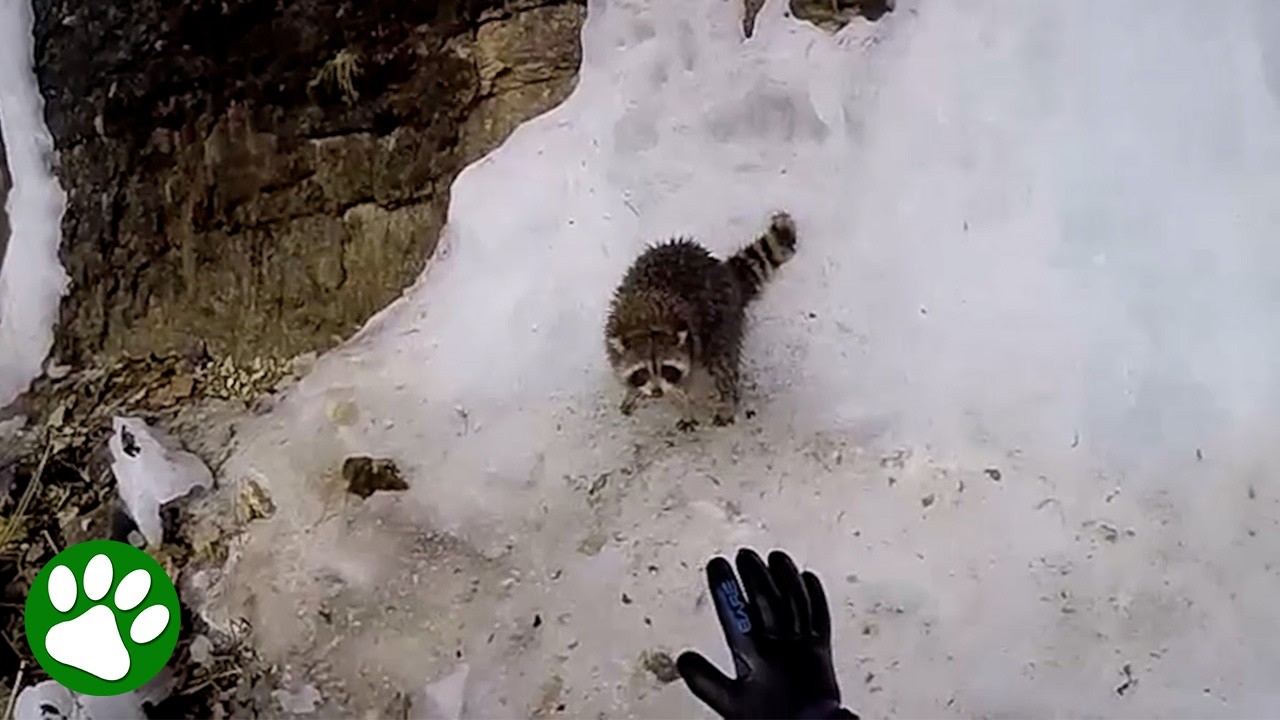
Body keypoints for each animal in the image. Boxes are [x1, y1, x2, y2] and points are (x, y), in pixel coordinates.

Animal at [604, 211, 798, 429]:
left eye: (666, 369)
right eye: (642, 371)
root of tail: (722, 270)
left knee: (722, 361)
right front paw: (631, 391)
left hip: (723, 320)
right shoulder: (613, 333)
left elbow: (688, 385)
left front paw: (686, 406)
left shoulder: (691, 343)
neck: (646, 325)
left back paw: (727, 397)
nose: (657, 392)